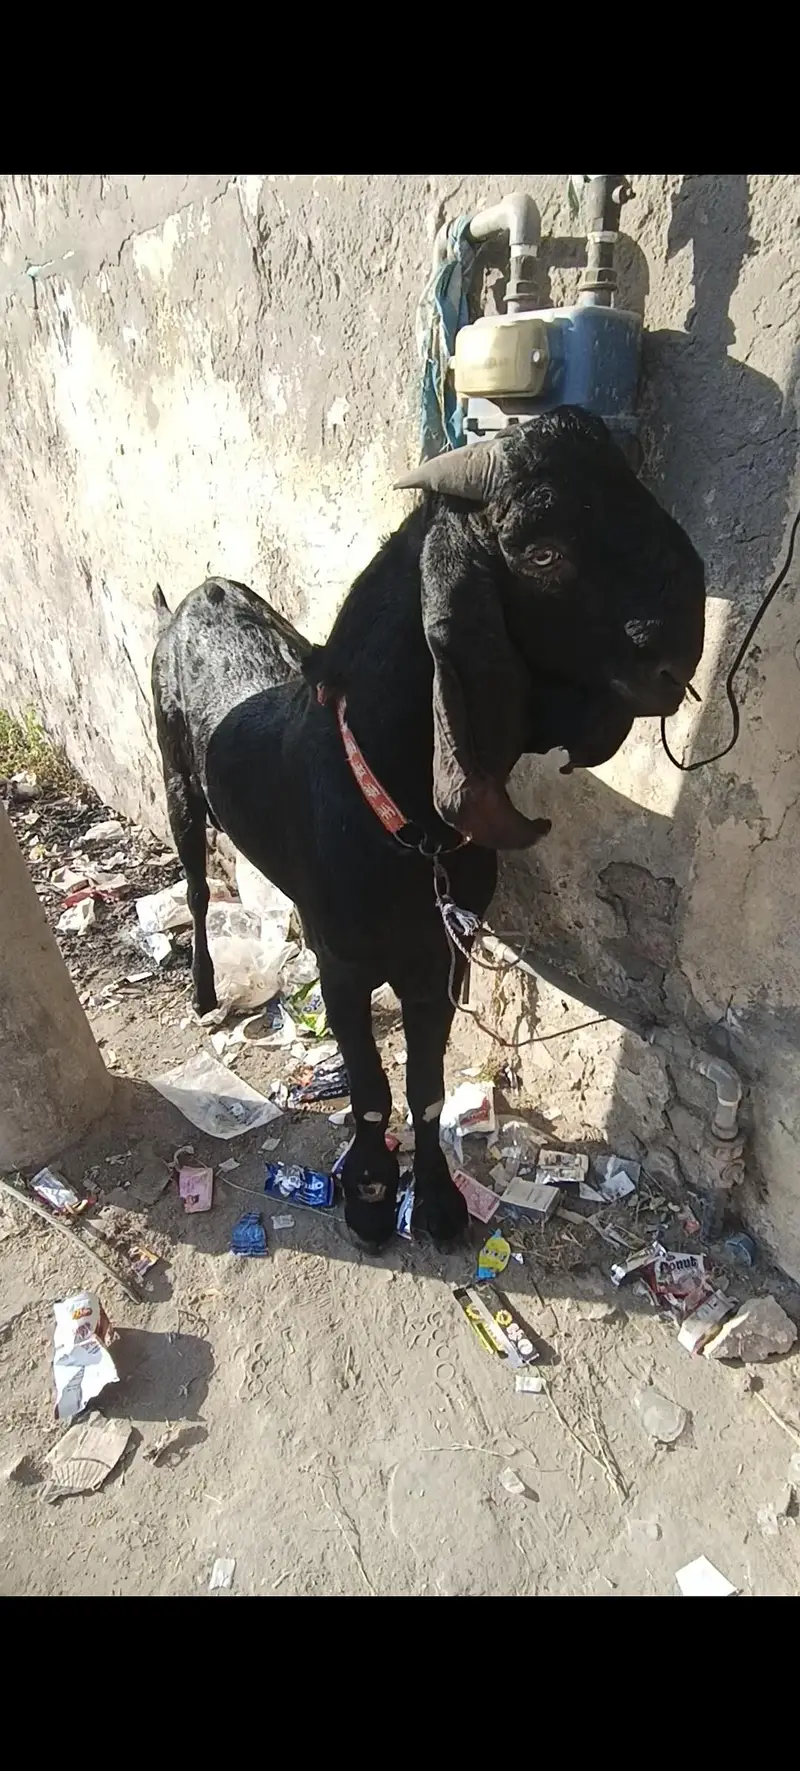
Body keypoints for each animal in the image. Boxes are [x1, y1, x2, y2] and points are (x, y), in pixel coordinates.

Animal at [152, 407, 705, 1251]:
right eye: (541, 551)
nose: (680, 650)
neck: (403, 826)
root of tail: (195, 597)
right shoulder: (345, 965)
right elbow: (371, 1085)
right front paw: (371, 1196)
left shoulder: (441, 959)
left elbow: (427, 1087)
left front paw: (439, 1201)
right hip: (177, 781)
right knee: (194, 887)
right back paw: (205, 989)